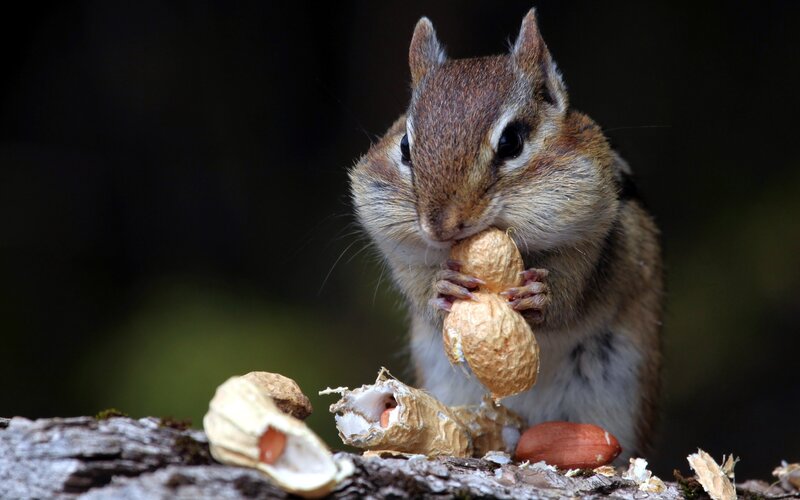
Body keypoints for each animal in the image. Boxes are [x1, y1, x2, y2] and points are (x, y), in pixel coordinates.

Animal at [349, 9, 663, 458]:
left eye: (512, 141)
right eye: (406, 147)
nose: (440, 227)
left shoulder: (599, 238)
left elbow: (576, 291)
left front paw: (540, 295)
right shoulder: (400, 249)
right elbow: (419, 286)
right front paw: (442, 286)